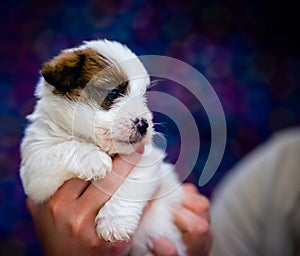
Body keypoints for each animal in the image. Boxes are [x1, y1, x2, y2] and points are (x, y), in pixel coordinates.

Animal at [19, 39, 185, 255]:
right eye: (113, 93)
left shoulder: (147, 159)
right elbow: (62, 148)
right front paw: (93, 158)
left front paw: (115, 222)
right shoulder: (35, 168)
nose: (144, 125)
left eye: (143, 97)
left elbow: (132, 183)